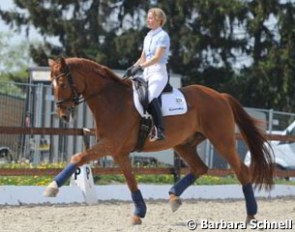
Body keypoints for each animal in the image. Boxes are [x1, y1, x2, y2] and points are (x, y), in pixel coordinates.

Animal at [44, 57, 276, 225]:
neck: (111, 100)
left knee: (241, 171)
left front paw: (52, 187)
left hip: (222, 140)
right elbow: (131, 181)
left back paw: (251, 214)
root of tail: (220, 96)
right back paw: (174, 198)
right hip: (183, 144)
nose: (62, 114)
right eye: (51, 84)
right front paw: (139, 213)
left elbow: (78, 157)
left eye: (62, 83)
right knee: (200, 168)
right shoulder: (119, 152)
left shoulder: (110, 145)